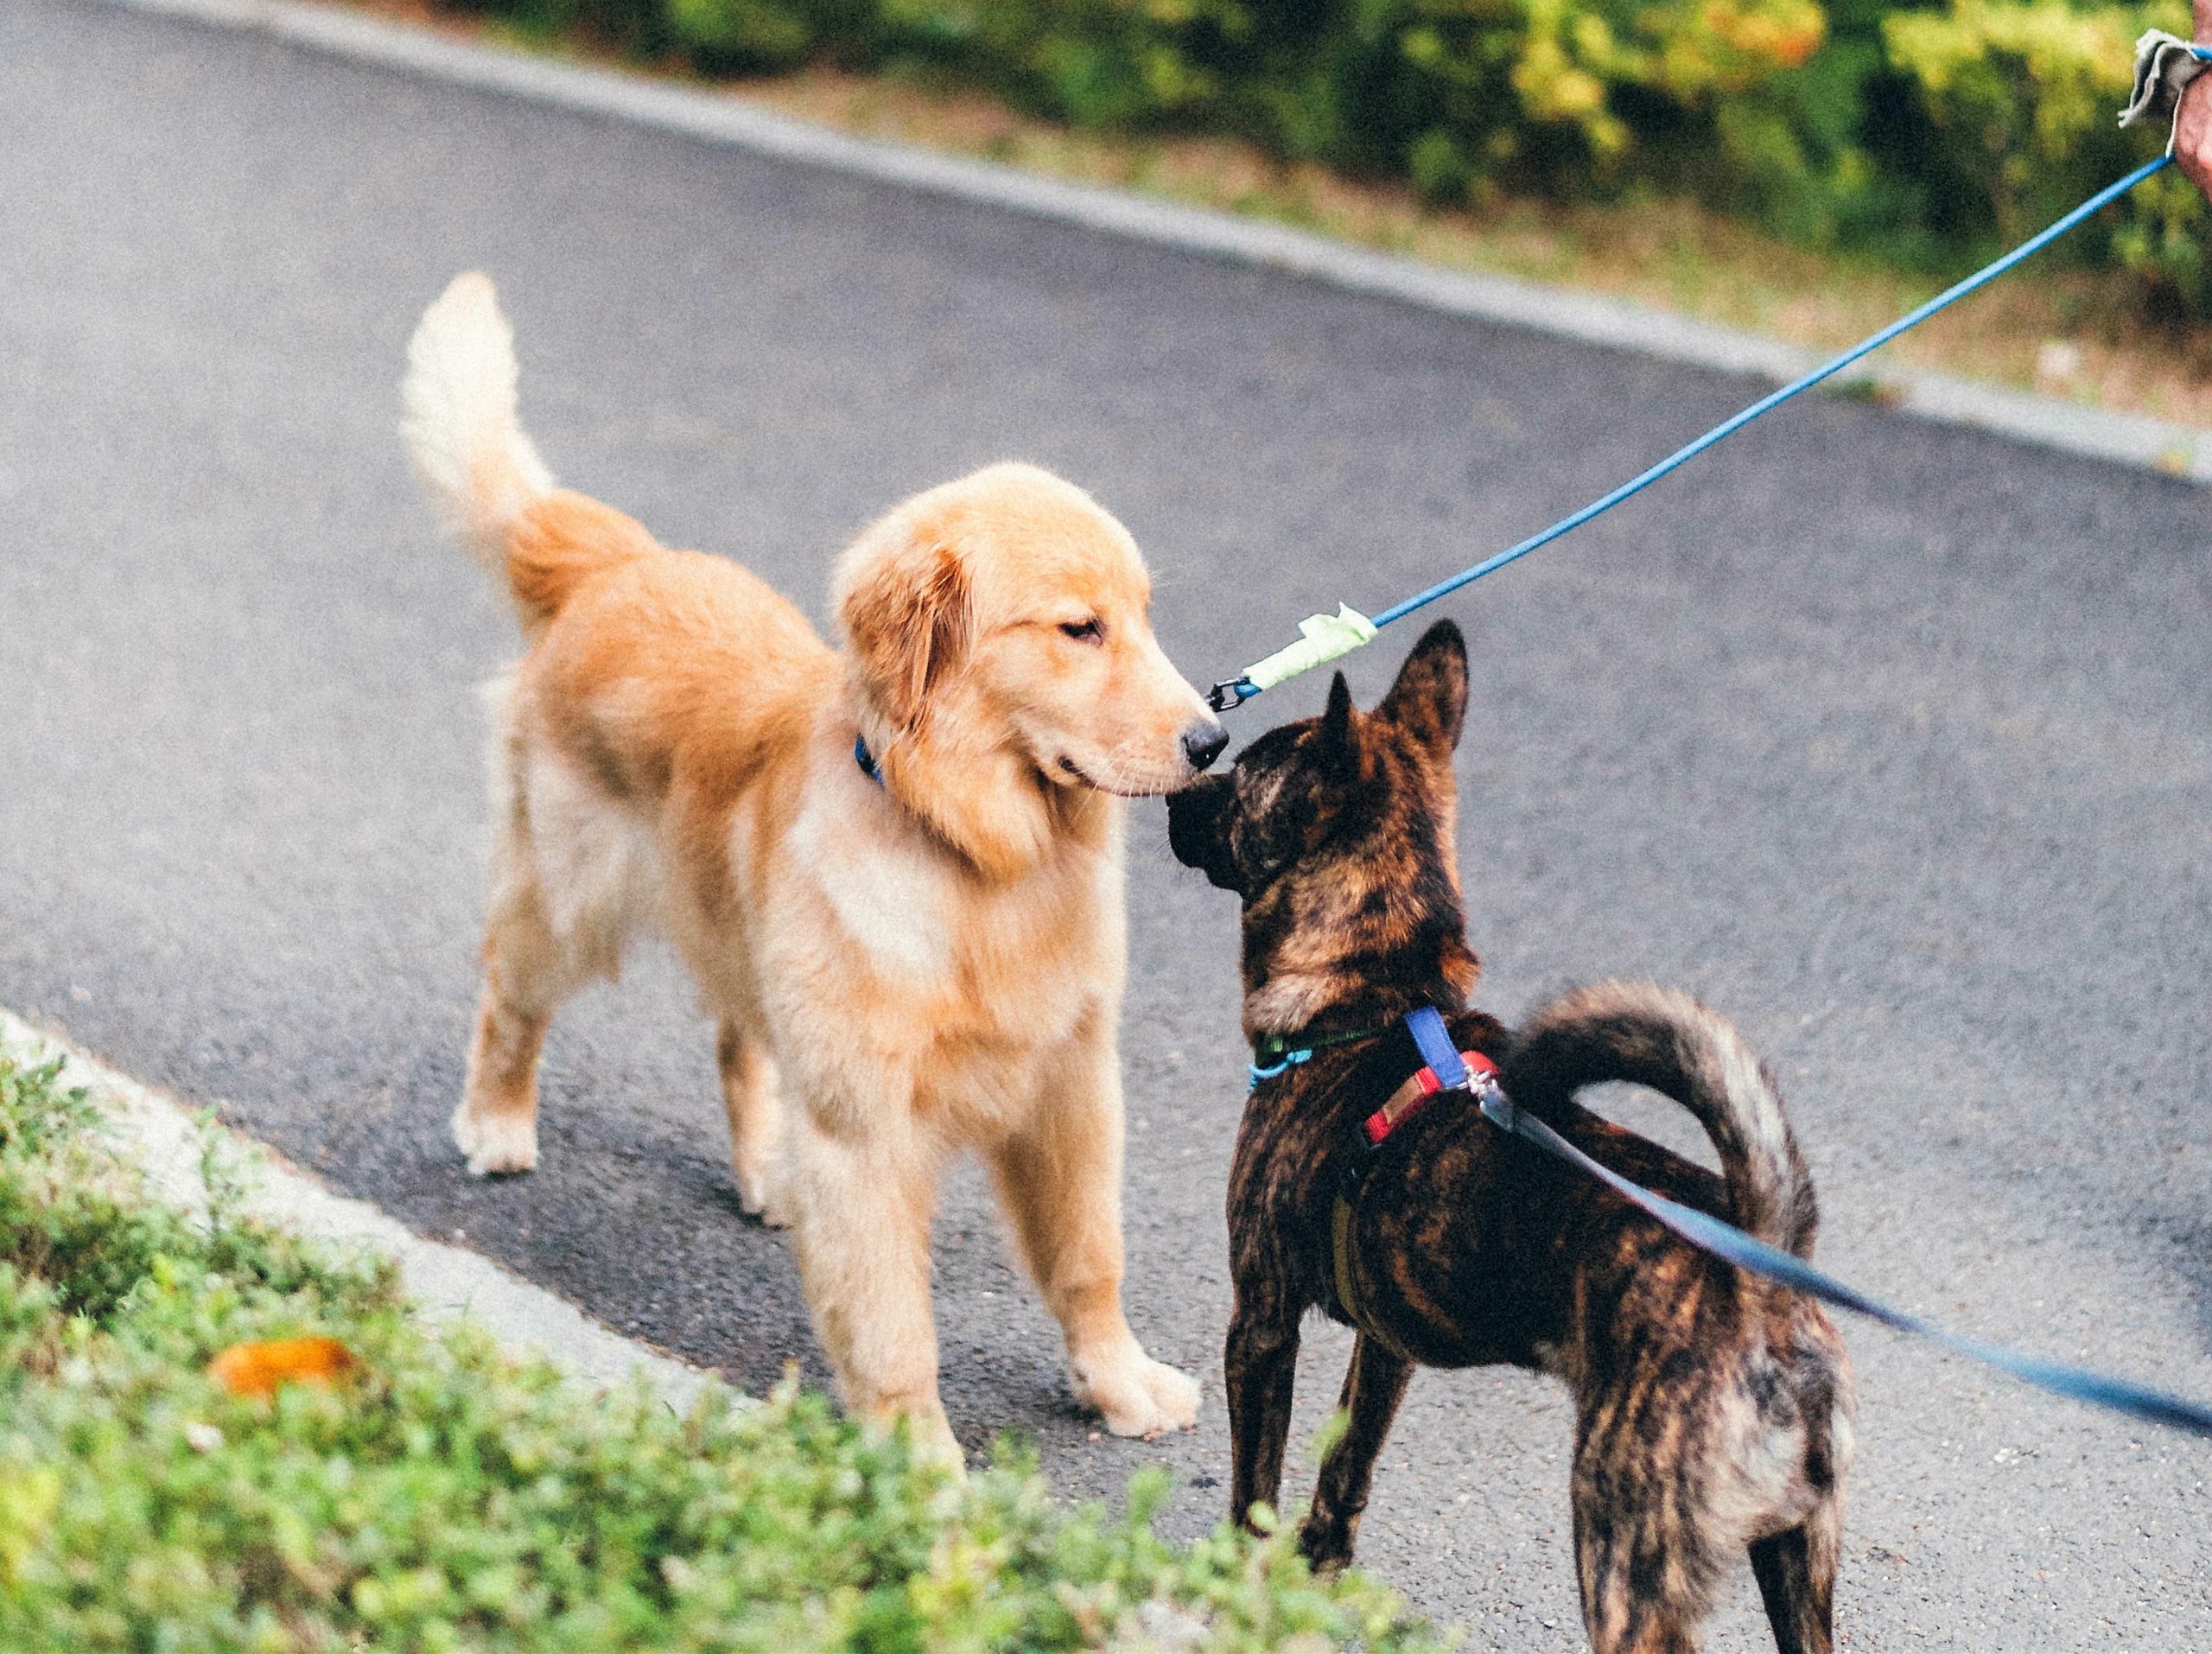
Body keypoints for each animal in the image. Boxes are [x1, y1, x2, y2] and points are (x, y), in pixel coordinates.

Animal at [400, 274, 1230, 1459]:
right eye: (1080, 629)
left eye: (1144, 618)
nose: (1214, 742)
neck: (976, 854)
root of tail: (616, 563)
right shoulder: (868, 1126)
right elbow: (890, 1324)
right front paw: (917, 1465)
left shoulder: (1070, 1082)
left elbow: (1088, 1257)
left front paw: (1117, 1383)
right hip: (566, 901)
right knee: (508, 1003)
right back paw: (498, 1122)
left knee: (738, 1040)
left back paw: (769, 1172)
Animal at [1167, 623, 1858, 1654]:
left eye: (1242, 779)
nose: (1177, 789)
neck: (1377, 999)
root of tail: (1762, 1276)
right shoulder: (1387, 1343)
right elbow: (1344, 1467)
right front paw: (1313, 1576)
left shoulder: (1261, 1323)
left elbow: (1254, 1494)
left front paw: (1238, 1600)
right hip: (1798, 1561)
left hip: (1622, 1554)